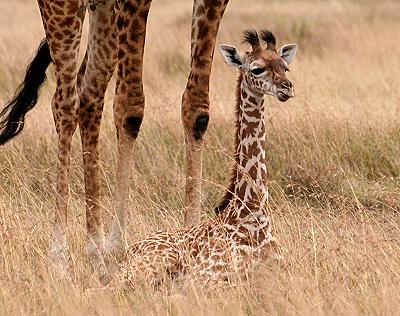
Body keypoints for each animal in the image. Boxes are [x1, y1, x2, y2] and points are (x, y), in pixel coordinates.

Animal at [0, 0, 230, 276]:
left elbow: (197, 108)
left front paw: (191, 243)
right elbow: (130, 108)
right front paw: (117, 247)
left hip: (102, 11)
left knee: (89, 94)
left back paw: (94, 249)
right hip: (64, 8)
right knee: (65, 102)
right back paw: (61, 257)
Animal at [115, 30, 296, 288]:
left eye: (285, 67)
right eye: (256, 69)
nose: (286, 88)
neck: (253, 214)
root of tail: (128, 251)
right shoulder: (206, 278)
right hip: (152, 265)